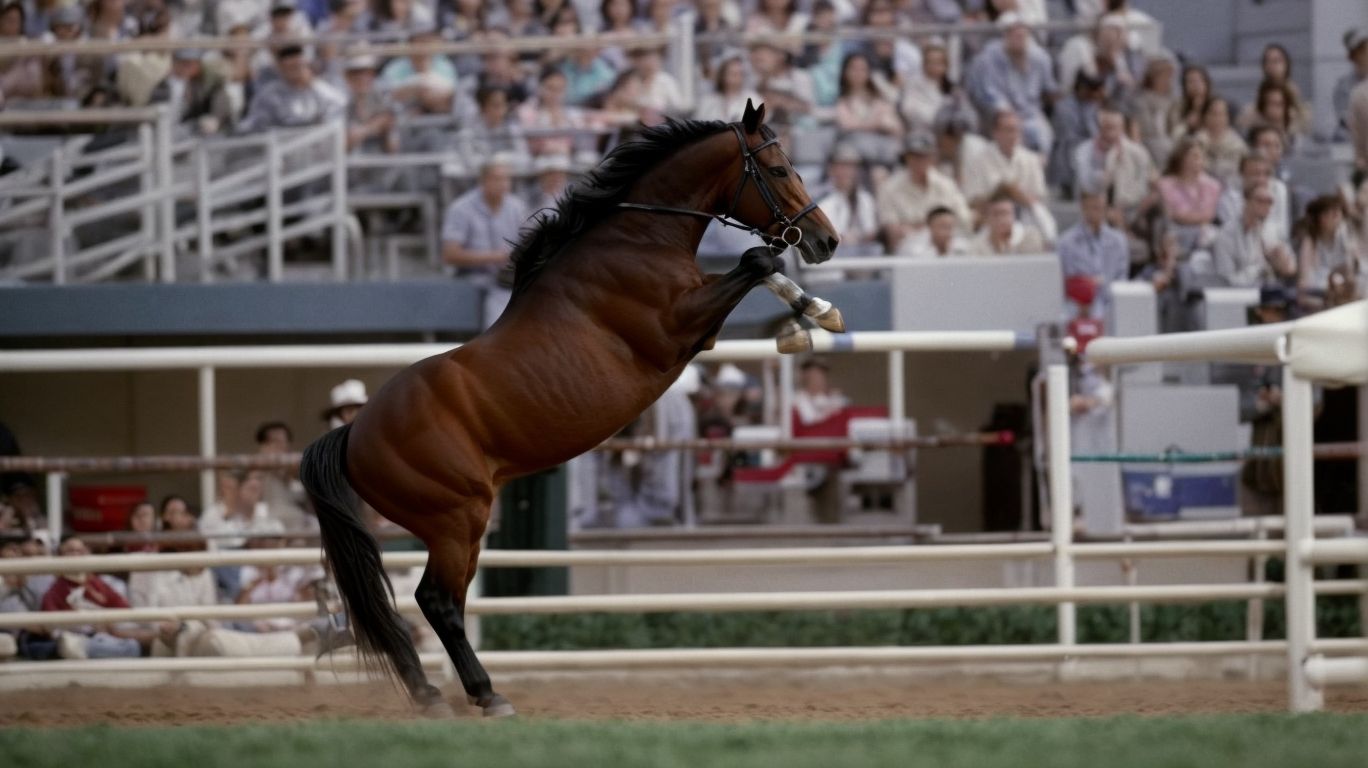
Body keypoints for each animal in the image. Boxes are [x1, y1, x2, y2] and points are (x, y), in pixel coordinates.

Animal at [298, 101, 841, 718]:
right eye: (777, 169)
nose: (825, 239)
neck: (636, 241)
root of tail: (354, 433)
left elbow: (763, 264)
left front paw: (815, 311)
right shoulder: (680, 329)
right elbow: (756, 259)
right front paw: (812, 314)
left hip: (459, 529)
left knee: (422, 605)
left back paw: (432, 693)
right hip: (456, 520)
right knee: (437, 601)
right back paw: (483, 694)